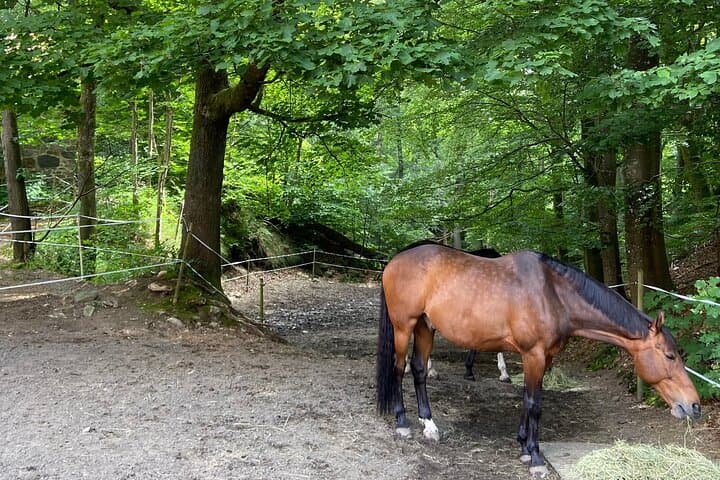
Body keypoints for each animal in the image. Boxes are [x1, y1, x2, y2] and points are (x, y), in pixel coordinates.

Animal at [376, 243, 700, 477]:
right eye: (669, 355)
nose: (694, 406)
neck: (554, 294)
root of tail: (394, 261)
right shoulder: (533, 354)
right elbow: (534, 404)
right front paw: (534, 456)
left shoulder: (542, 357)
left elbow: (527, 398)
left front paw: (522, 445)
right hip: (404, 327)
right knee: (399, 369)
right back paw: (402, 422)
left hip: (425, 327)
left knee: (419, 370)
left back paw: (429, 425)